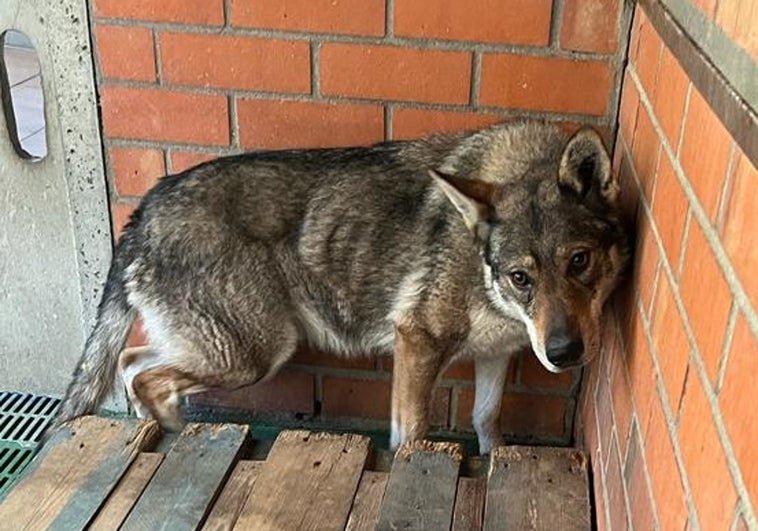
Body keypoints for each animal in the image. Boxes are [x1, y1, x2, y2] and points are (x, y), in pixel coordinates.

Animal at [49, 120, 628, 454]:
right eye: (520, 277)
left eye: (579, 261)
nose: (564, 353)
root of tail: (142, 211)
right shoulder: (416, 344)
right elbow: (412, 437)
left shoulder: (497, 352)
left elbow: (487, 423)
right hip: (253, 356)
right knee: (147, 377)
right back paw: (170, 439)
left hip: (221, 352)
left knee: (132, 367)